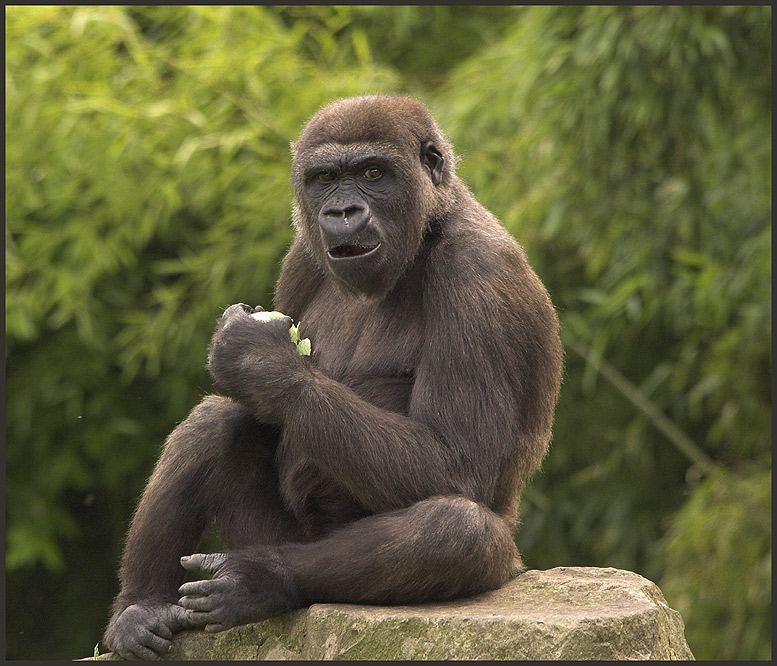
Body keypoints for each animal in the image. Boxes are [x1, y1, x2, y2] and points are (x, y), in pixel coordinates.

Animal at [103, 95, 563, 660]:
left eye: (372, 173)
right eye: (324, 178)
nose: (342, 212)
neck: (431, 224)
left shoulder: (479, 273)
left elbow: (457, 460)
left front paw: (258, 358)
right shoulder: (301, 255)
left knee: (460, 531)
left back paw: (262, 578)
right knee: (213, 421)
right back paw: (140, 605)